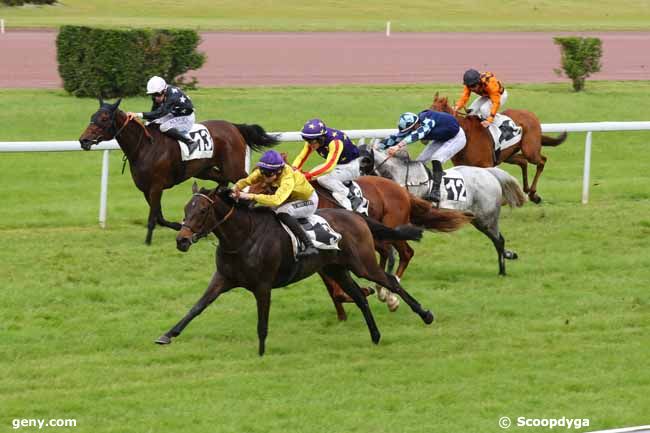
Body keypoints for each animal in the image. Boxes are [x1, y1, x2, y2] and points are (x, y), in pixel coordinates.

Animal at [78, 99, 276, 245]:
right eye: (93, 116)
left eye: (104, 119)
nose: (83, 140)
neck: (144, 147)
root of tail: (234, 127)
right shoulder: (146, 189)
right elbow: (158, 216)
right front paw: (179, 225)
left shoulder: (156, 186)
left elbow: (153, 218)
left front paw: (148, 242)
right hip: (204, 170)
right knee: (222, 181)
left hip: (233, 167)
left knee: (249, 182)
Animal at [156, 182, 436, 354]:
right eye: (186, 208)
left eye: (203, 210)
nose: (182, 240)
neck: (243, 237)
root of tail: (355, 215)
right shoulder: (223, 278)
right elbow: (197, 307)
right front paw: (167, 335)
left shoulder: (263, 285)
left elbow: (262, 322)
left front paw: (261, 352)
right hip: (336, 269)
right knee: (359, 296)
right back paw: (376, 335)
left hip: (363, 264)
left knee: (390, 281)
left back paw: (423, 314)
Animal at [360, 143, 528, 276]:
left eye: (364, 161)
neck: (402, 178)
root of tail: (488, 172)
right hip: (478, 219)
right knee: (497, 240)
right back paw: (507, 258)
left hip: (487, 219)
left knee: (499, 240)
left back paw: (503, 270)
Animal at [428, 92, 564, 202]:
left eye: (436, 113)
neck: (466, 136)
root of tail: (530, 114)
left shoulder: (486, 165)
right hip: (508, 155)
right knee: (523, 162)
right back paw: (527, 190)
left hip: (530, 151)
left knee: (541, 161)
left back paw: (533, 194)